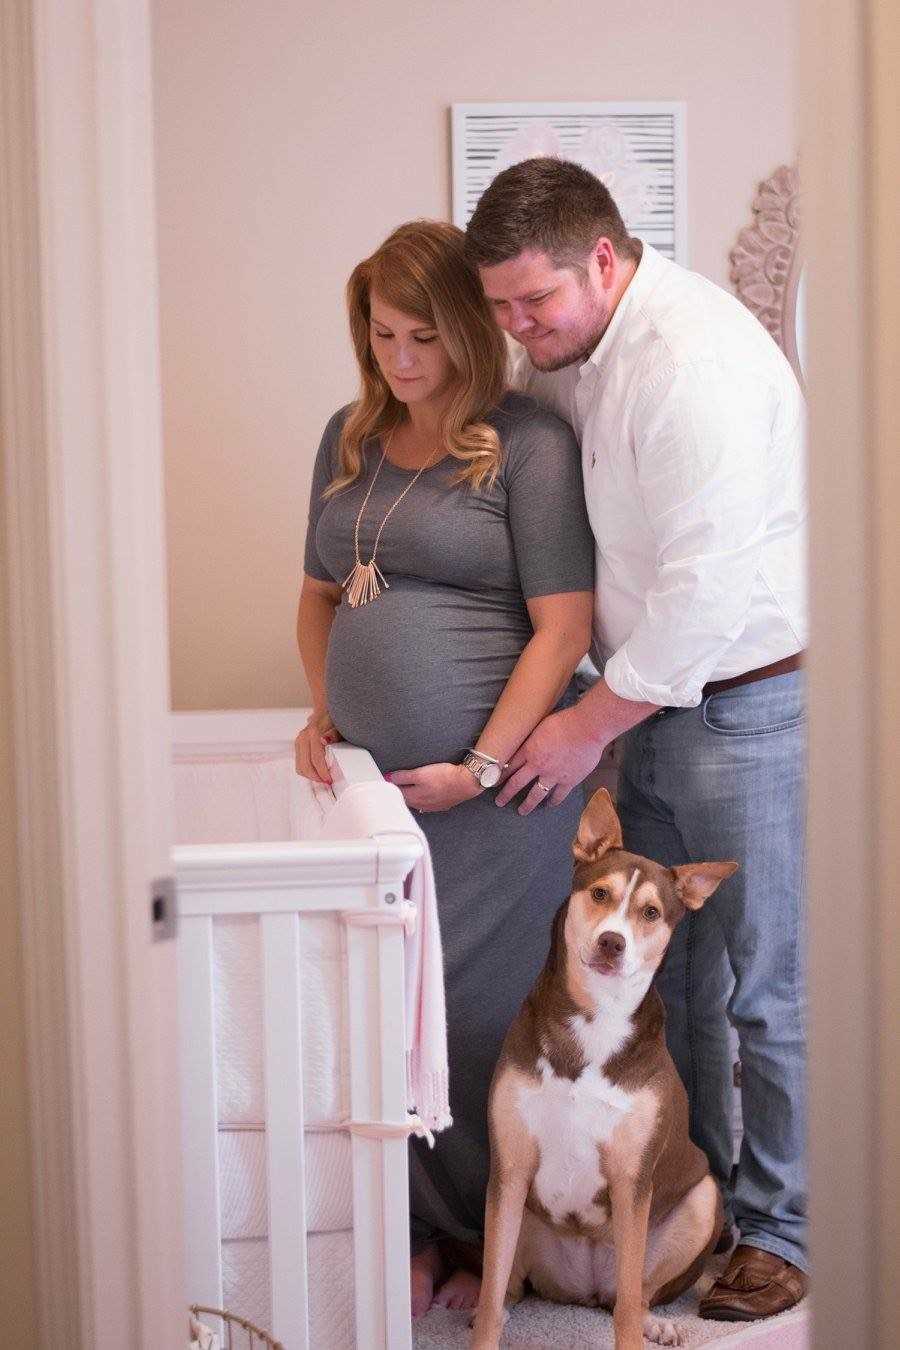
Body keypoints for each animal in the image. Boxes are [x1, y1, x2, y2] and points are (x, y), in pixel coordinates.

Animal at [472, 788, 739, 1350]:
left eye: (651, 912)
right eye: (598, 894)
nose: (613, 942)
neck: (595, 1017)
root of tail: (583, 1291)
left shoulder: (631, 1179)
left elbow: (629, 1307)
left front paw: (639, 1331)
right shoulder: (509, 1168)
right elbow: (491, 1294)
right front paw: (483, 1326)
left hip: (703, 1197)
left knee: (633, 1295)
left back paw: (658, 1321)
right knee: (510, 1285)